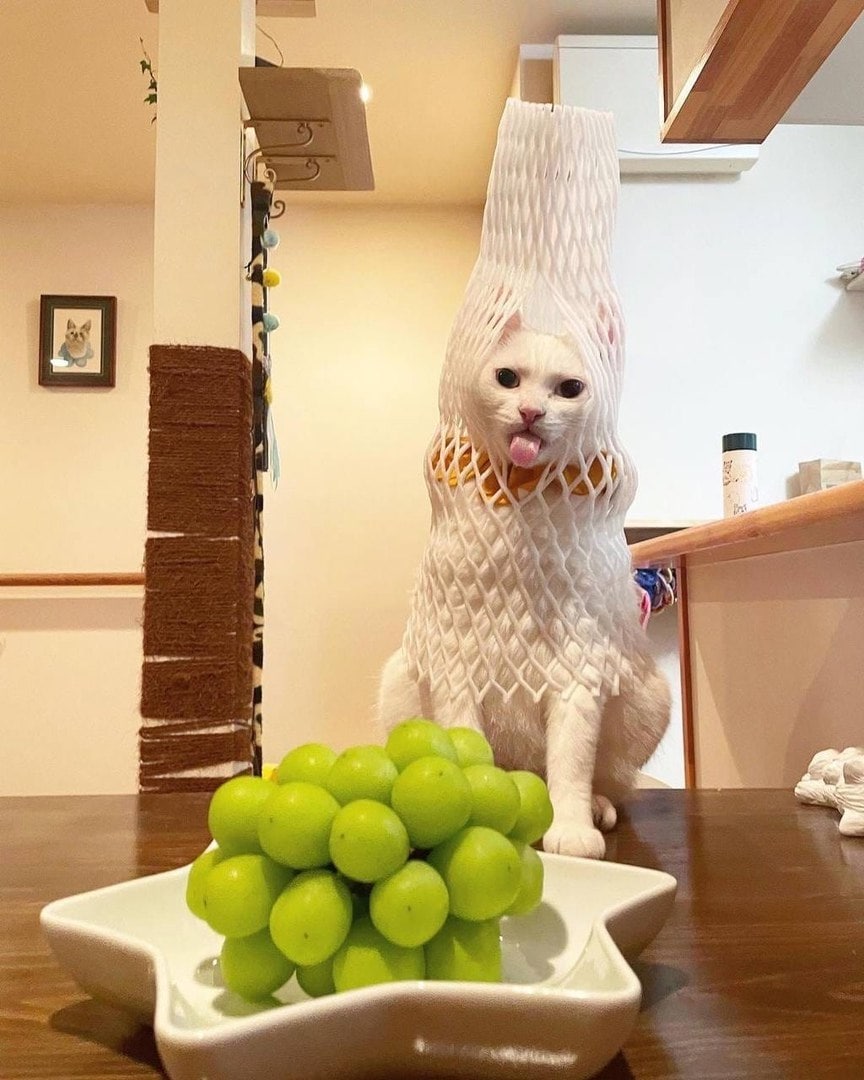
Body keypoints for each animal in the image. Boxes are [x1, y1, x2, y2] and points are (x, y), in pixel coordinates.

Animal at [378, 313, 671, 859]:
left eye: (570, 388)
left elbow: (571, 763)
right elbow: (466, 750)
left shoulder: (579, 669)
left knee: (600, 777)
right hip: (399, 679)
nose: (531, 410)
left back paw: (597, 807)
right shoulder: (455, 666)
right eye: (508, 378)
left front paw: (572, 830)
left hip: (649, 696)